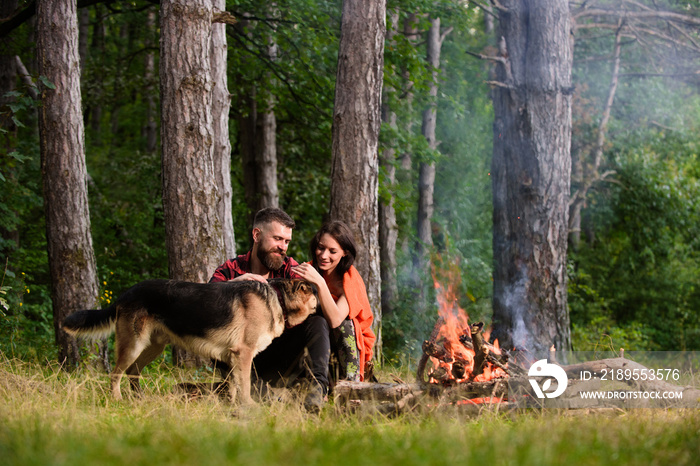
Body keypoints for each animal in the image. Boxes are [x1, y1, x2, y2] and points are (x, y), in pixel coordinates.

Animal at [61, 276, 318, 404]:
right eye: (315, 293)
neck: (279, 297)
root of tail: (126, 293)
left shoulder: (232, 358)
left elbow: (233, 386)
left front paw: (231, 406)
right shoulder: (243, 354)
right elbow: (244, 386)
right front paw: (248, 407)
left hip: (152, 347)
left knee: (133, 372)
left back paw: (138, 398)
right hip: (133, 345)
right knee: (115, 374)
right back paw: (117, 399)